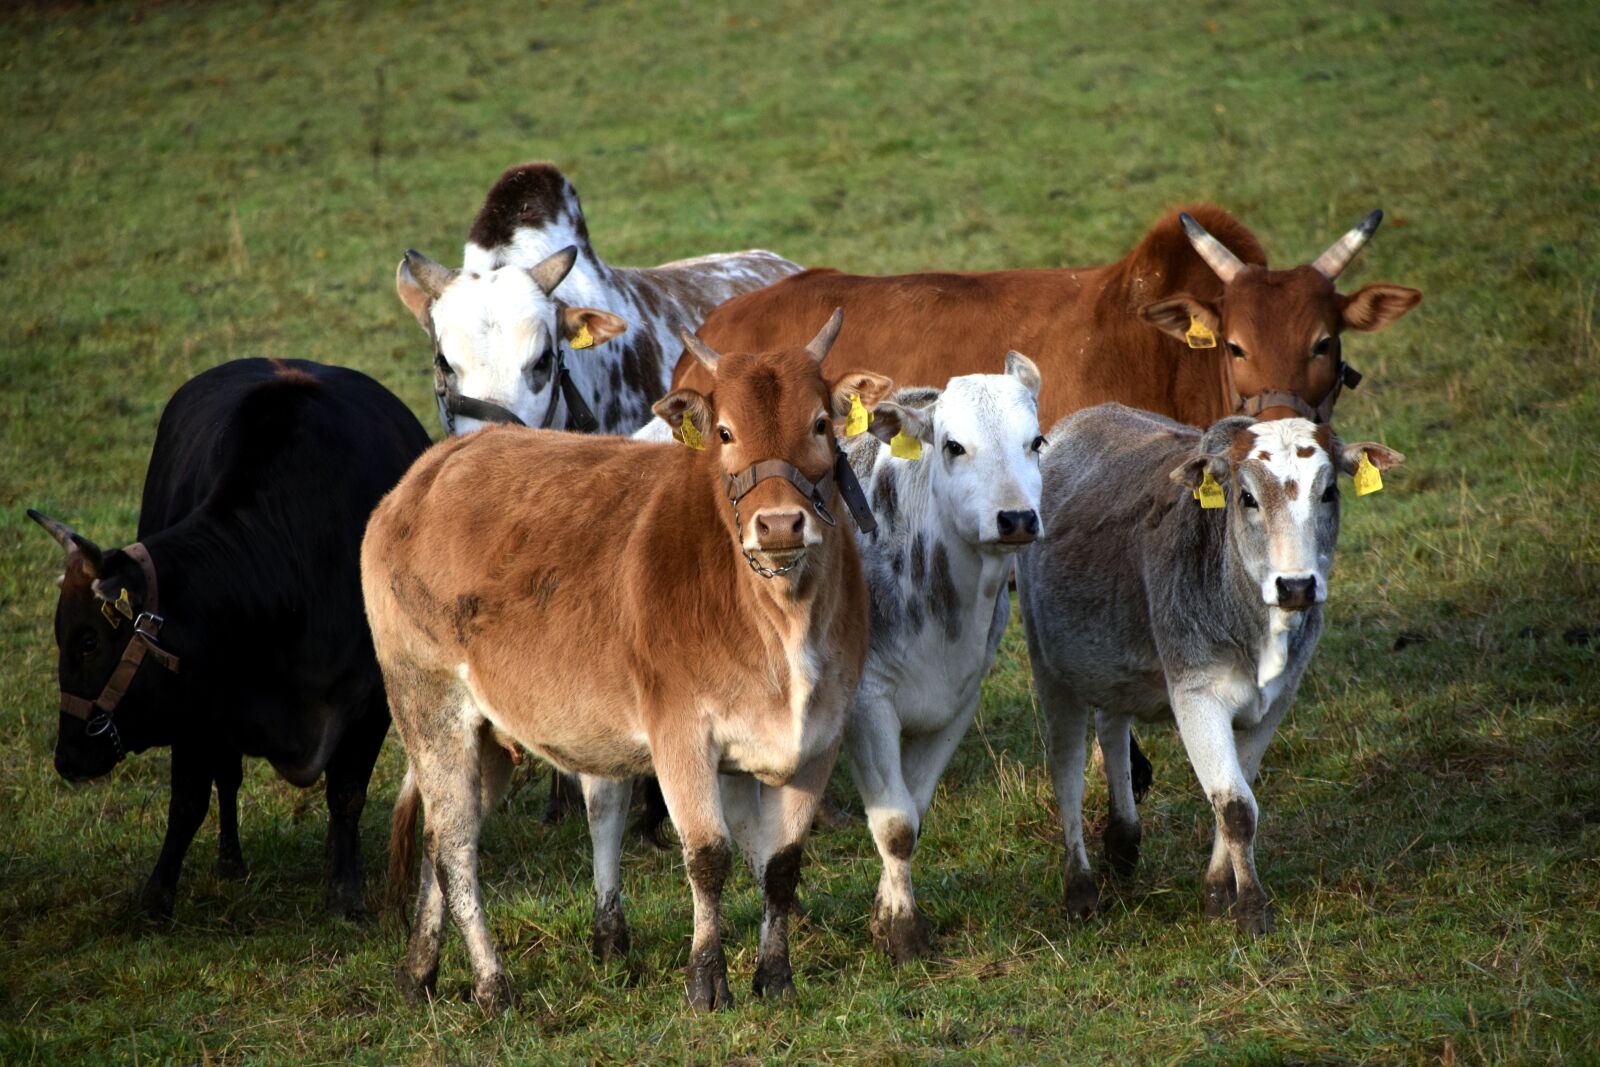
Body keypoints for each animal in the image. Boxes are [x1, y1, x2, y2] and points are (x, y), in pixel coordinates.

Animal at [28, 358, 431, 920]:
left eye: (89, 641)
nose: (67, 758)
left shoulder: (373, 702)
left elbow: (347, 795)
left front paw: (346, 892)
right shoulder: (196, 706)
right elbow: (189, 799)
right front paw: (157, 895)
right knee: (228, 778)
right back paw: (230, 861)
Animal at [367, 312, 896, 1011]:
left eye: (820, 425)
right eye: (725, 432)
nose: (780, 525)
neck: (782, 622)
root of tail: (433, 466)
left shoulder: (817, 740)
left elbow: (780, 866)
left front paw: (775, 977)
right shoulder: (680, 734)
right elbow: (709, 857)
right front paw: (706, 981)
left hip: (485, 735)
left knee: (439, 841)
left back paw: (419, 970)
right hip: (427, 703)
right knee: (454, 848)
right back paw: (492, 984)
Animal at [839, 353, 1045, 962]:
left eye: (1037, 442)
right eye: (954, 446)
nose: (1017, 519)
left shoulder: (957, 704)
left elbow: (916, 811)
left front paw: (886, 914)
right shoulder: (867, 703)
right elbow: (894, 824)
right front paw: (904, 932)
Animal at [1016, 403, 1404, 932]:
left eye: (1329, 492)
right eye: (1247, 497)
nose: (1296, 585)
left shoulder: (1276, 701)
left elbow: (1241, 799)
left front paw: (1219, 892)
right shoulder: (1195, 694)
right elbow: (1236, 806)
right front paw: (1252, 909)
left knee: (1112, 726)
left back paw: (1123, 842)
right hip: (1051, 668)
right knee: (1066, 767)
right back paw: (1080, 889)